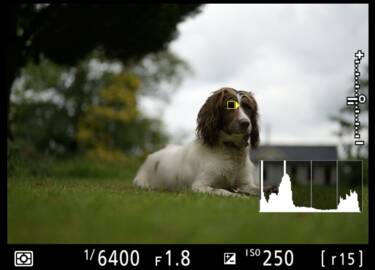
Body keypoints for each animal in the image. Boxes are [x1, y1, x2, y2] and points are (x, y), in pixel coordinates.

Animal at [134, 87, 262, 197]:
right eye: (230, 105)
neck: (231, 148)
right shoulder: (199, 186)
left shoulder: (245, 183)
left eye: (248, 107)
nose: (245, 123)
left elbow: (259, 189)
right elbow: (225, 191)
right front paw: (240, 196)